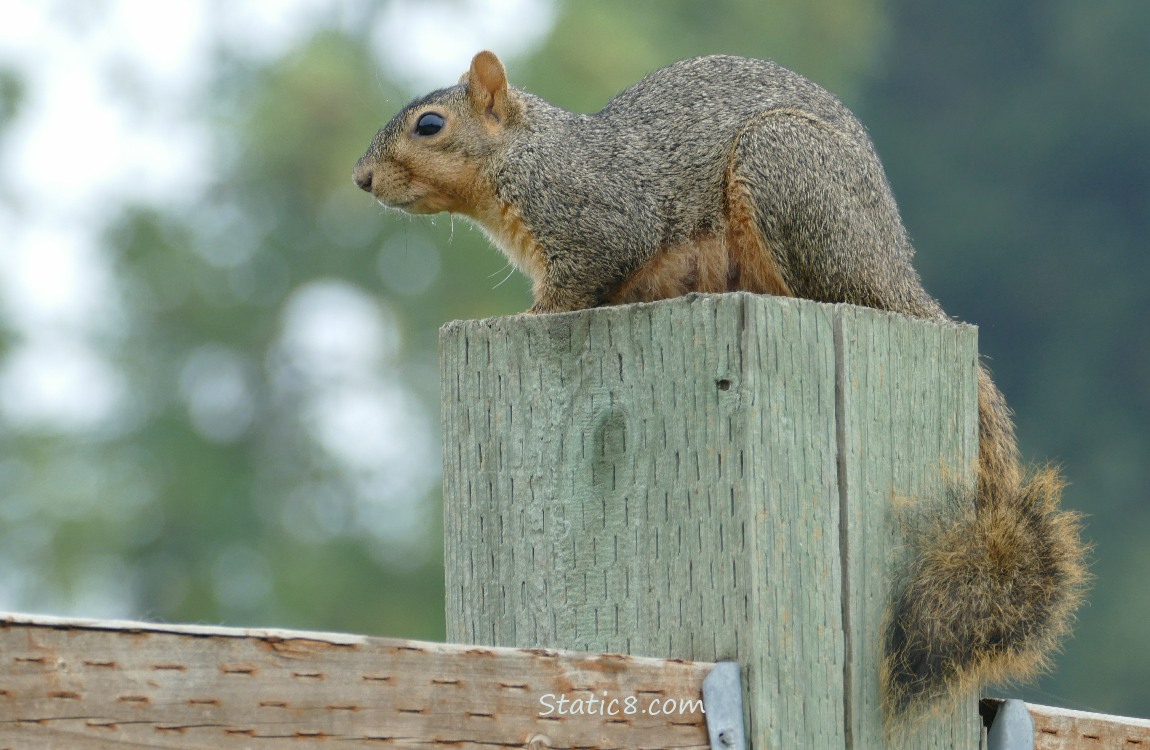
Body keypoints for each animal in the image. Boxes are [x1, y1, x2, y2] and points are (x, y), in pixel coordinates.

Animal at [354, 49, 1090, 717]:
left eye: (429, 125)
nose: (361, 178)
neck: (526, 157)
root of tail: (901, 280)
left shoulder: (601, 220)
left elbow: (581, 280)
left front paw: (527, 317)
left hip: (785, 175)